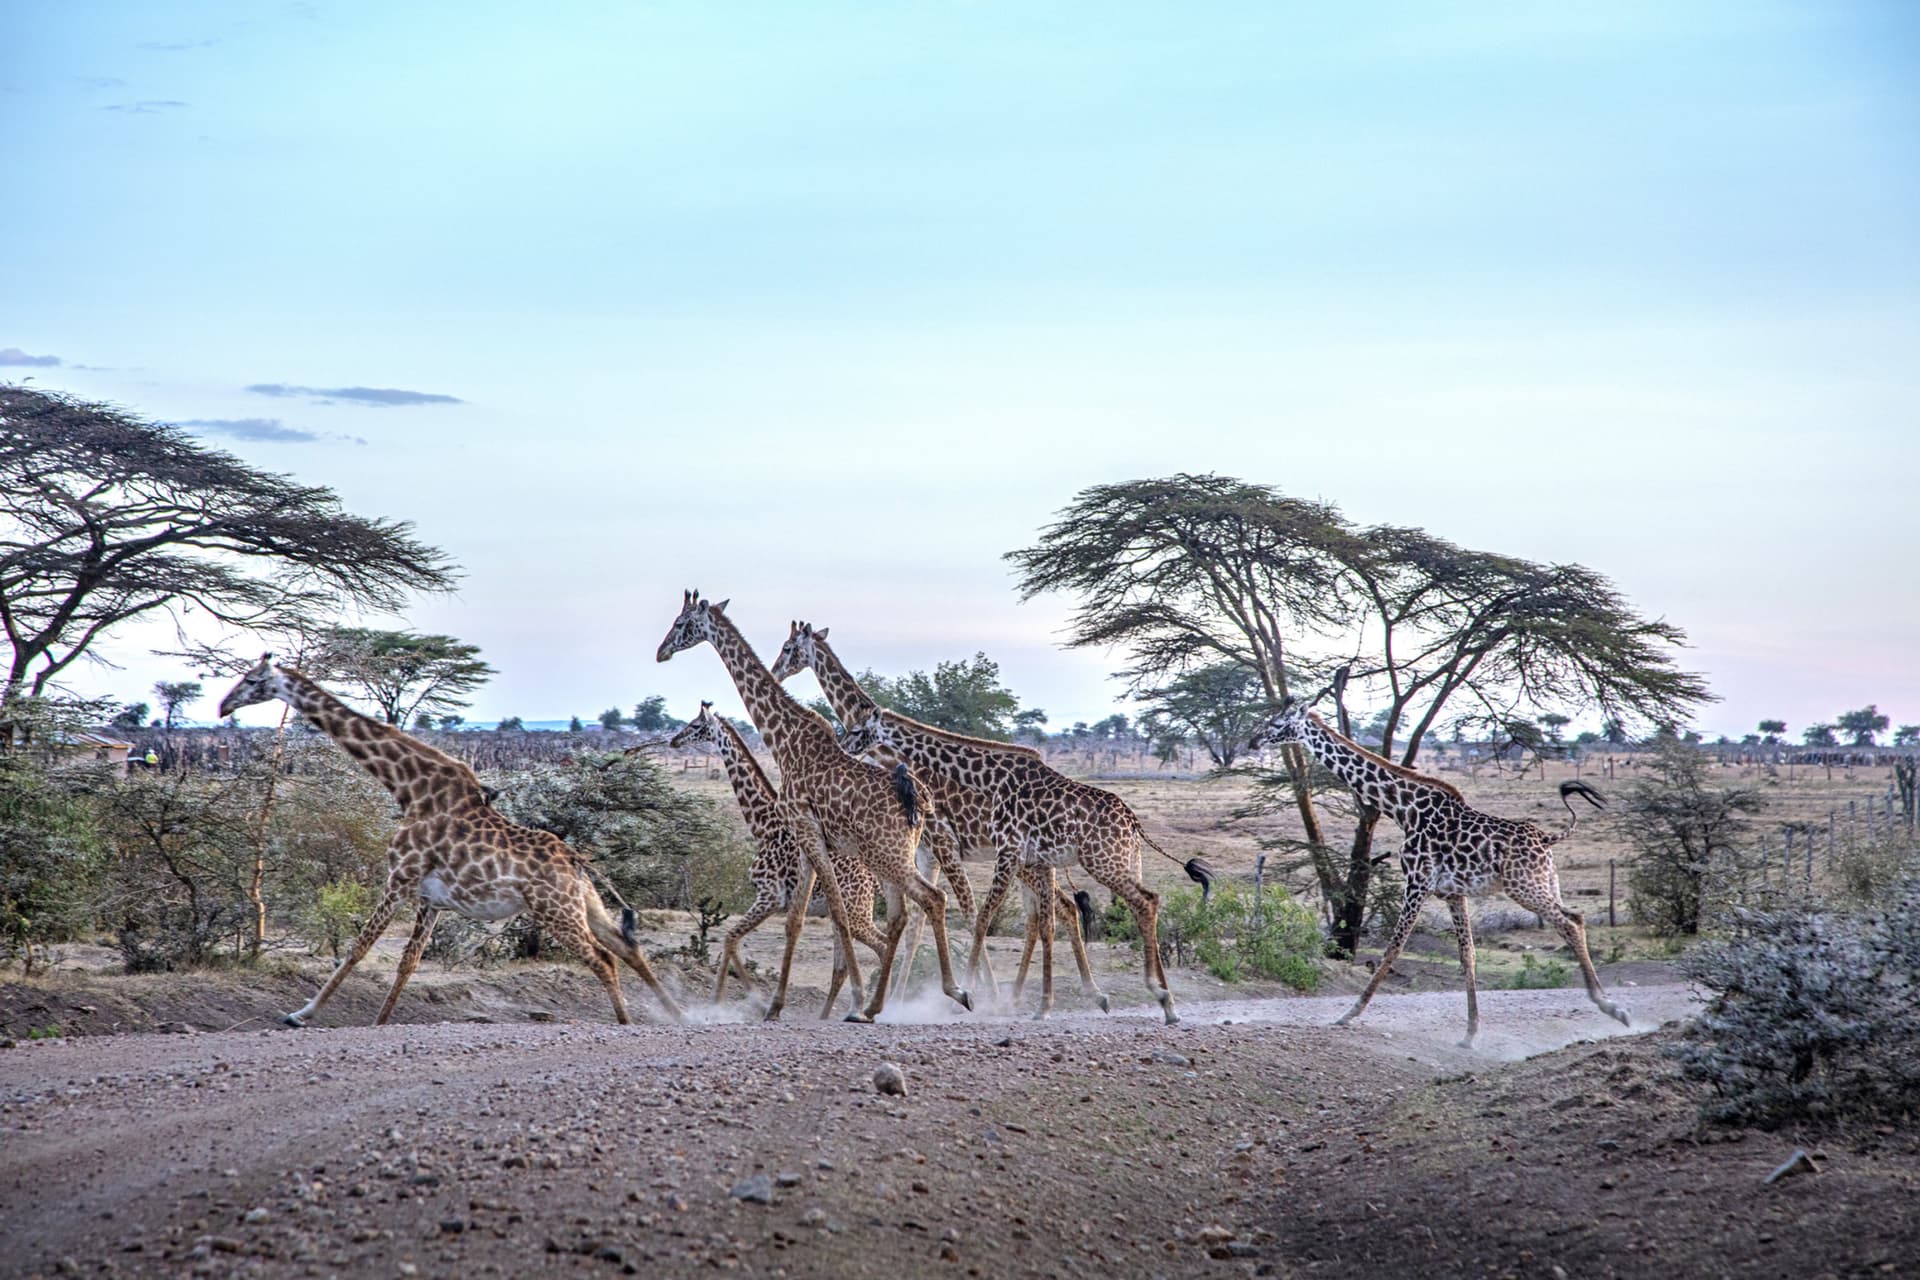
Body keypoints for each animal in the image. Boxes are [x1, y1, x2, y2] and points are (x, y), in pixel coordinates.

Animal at [216, 655, 683, 1028]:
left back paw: (627, 1023)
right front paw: (379, 1023)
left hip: (554, 910)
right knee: (626, 947)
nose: (223, 706)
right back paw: (678, 1014)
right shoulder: (430, 897)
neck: (409, 788)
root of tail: (575, 859)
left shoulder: (400, 877)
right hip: (583, 903)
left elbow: (358, 948)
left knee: (603, 959)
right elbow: (407, 962)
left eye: (252, 680)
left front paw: (300, 1014)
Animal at [667, 701, 888, 1019]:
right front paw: (731, 1002)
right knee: (843, 967)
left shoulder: (769, 896)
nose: (674, 740)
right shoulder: (769, 899)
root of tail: (871, 878)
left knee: (881, 946)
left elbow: (730, 937)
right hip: (846, 915)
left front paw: (745, 1002)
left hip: (858, 912)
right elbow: (731, 939)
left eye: (696, 725)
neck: (764, 827)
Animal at [770, 621, 1110, 1016]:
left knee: (1053, 911)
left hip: (1023, 860)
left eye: (789, 647)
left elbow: (966, 911)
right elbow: (919, 922)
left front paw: (971, 992)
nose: (776, 672)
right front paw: (900, 999)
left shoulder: (942, 843)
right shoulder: (927, 851)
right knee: (1053, 911)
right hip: (1028, 862)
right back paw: (1056, 995)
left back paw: (1051, 996)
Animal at [1249, 697, 1628, 1045]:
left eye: (1277, 723)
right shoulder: (1452, 892)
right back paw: (1607, 1003)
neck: (1402, 810)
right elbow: (1467, 954)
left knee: (1569, 923)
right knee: (1575, 918)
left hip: (1523, 887)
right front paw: (1471, 1033)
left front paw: (1348, 1014)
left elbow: (1394, 947)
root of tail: (1548, 838)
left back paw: (1613, 1008)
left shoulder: (1417, 882)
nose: (1253, 741)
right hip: (1547, 883)